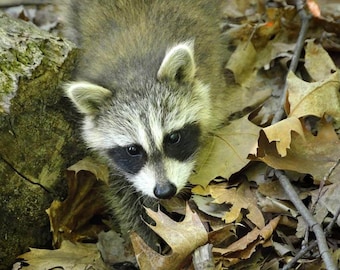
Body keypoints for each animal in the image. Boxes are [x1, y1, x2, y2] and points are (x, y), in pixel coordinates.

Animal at [61, 0, 231, 249]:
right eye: (133, 150)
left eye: (173, 138)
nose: (164, 191)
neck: (134, 74)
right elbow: (121, 190)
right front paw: (143, 236)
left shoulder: (214, 88)